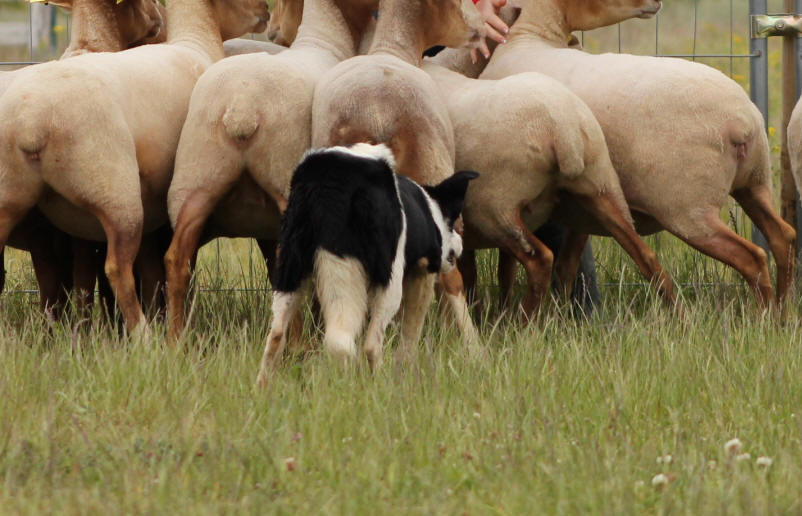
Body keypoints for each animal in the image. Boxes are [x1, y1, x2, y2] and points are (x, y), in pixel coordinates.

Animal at [0, 0, 268, 334]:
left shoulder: (138, 215)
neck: (195, 43)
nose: (266, 11)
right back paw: (143, 334)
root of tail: (30, 122)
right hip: (115, 190)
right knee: (117, 267)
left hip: (12, 196)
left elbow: (136, 275)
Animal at [162, 0, 378, 342]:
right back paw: (299, 345)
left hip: (196, 180)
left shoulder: (263, 222)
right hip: (284, 178)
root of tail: (241, 106)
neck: (327, 39)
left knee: (177, 259)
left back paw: (176, 340)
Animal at [310, 0, 488, 348]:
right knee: (449, 276)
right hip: (432, 169)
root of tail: (377, 113)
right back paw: (474, 347)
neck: (393, 48)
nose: (475, 32)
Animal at [478, 0, 792, 308]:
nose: (657, 3)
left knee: (751, 257)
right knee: (783, 237)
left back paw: (766, 315)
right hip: (754, 182)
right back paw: (783, 309)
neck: (527, 38)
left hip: (688, 206)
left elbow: (509, 269)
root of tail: (743, 121)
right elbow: (565, 266)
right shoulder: (587, 198)